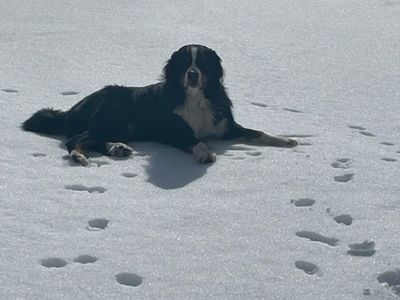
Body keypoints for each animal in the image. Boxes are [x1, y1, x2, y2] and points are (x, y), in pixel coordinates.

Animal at [21, 44, 296, 166]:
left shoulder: (226, 126)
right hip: (111, 109)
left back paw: (118, 148)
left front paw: (286, 140)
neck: (195, 97)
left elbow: (258, 133)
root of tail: (75, 107)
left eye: (202, 63)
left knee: (93, 138)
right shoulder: (176, 132)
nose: (193, 75)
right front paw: (205, 153)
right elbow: (198, 142)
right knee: (76, 138)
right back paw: (80, 155)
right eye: (185, 63)